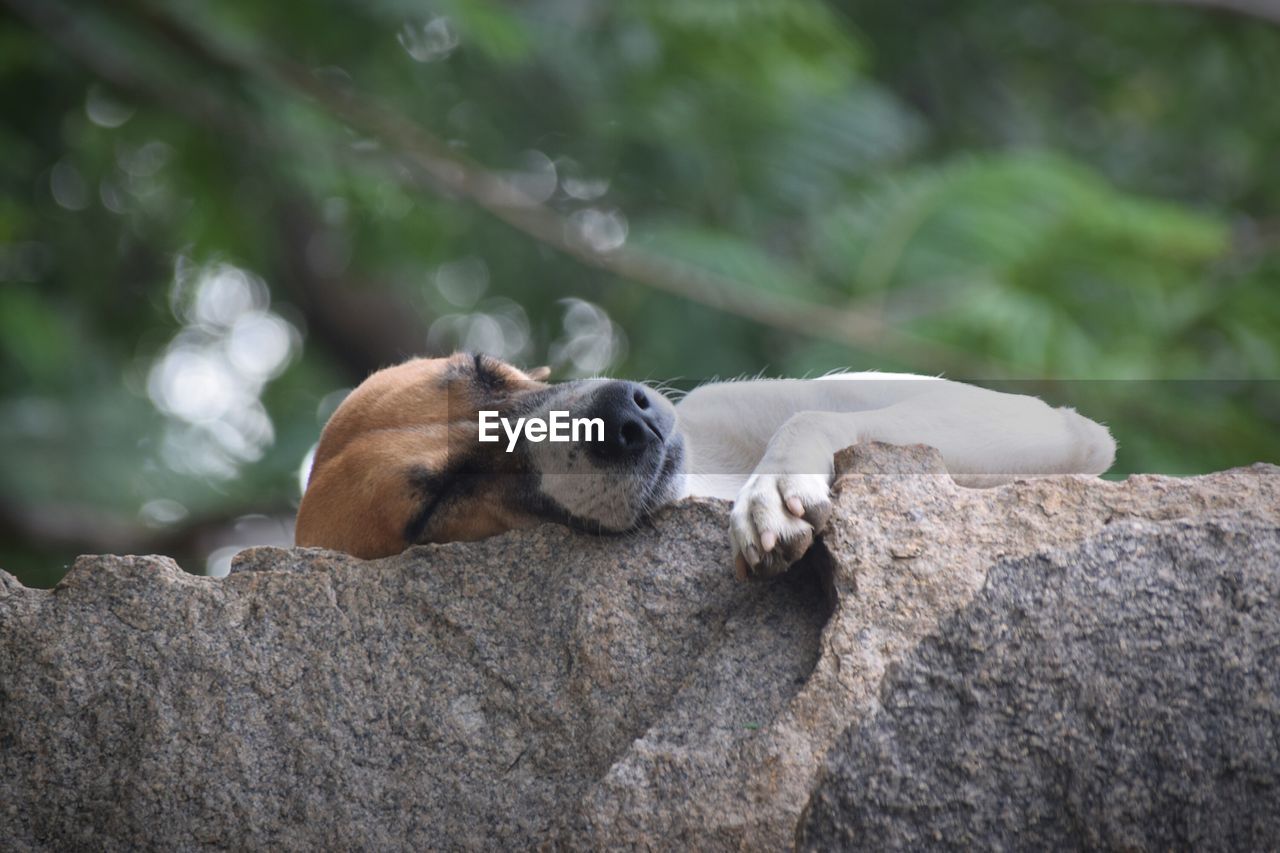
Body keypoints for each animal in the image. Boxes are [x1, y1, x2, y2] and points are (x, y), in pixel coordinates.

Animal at [293, 348, 1111, 573]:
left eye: (486, 368)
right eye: (441, 500)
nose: (625, 417)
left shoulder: (1057, 427)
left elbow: (810, 413)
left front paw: (772, 485)